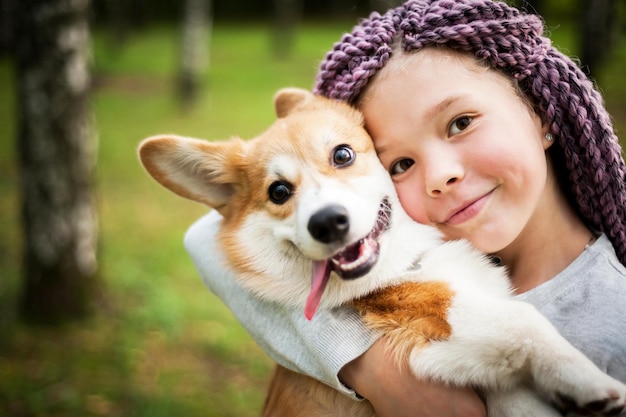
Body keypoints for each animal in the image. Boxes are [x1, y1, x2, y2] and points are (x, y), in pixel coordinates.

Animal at [139, 88, 624, 416]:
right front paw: (590, 382)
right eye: (278, 192)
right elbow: (523, 321)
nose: (327, 221)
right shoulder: (429, 316)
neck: (411, 260)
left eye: (343, 154)